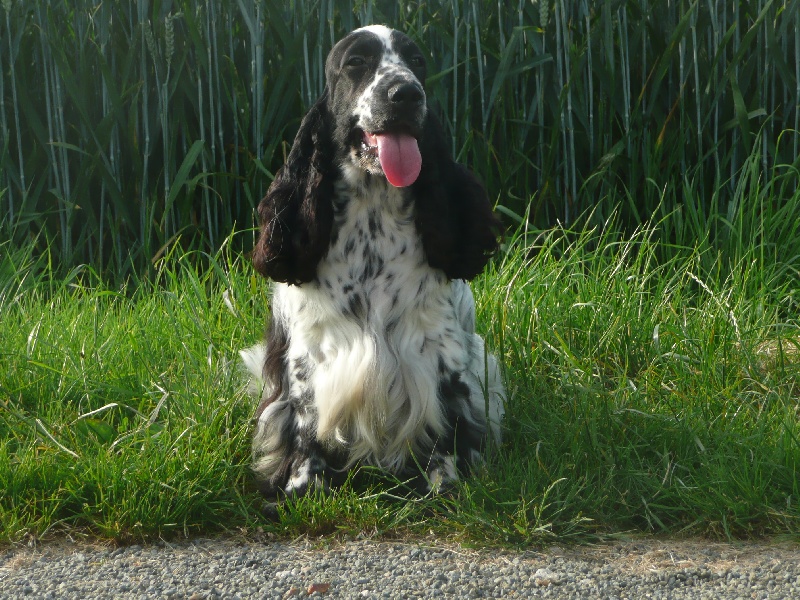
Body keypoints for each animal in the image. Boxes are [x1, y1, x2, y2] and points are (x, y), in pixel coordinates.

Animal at [244, 25, 504, 500]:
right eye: (356, 63)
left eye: (417, 62)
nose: (406, 93)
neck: (373, 217)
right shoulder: (309, 351)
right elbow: (306, 419)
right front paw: (301, 483)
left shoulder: (439, 345)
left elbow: (446, 415)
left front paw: (444, 479)